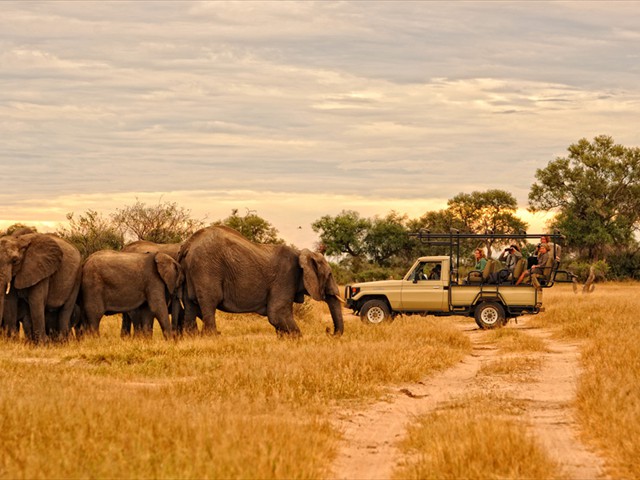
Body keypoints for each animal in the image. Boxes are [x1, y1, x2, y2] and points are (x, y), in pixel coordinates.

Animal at [175, 225, 344, 338]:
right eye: (329, 275)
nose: (328, 330)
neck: (301, 253)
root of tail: (188, 244)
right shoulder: (285, 277)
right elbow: (277, 313)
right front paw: (297, 339)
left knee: (190, 304)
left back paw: (192, 338)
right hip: (206, 268)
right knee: (209, 302)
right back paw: (213, 336)